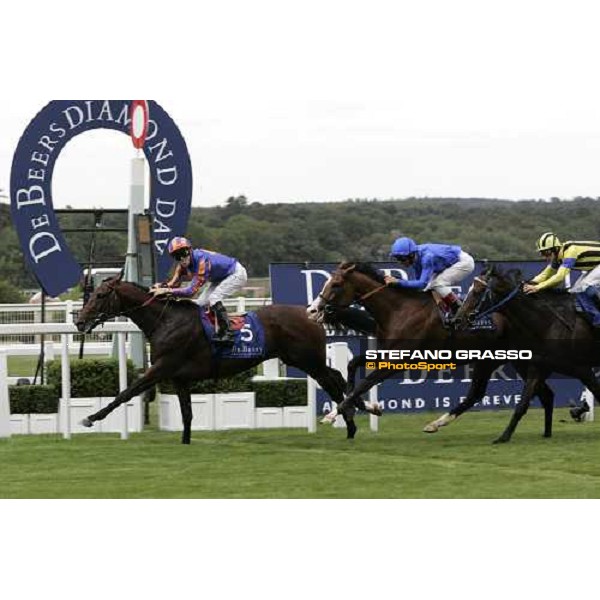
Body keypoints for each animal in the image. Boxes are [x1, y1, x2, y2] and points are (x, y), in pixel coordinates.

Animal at [72, 274, 368, 442]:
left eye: (100, 295)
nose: (80, 321)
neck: (166, 321)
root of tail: (311, 313)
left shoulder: (161, 367)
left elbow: (127, 392)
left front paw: (91, 418)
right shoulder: (178, 377)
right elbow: (187, 413)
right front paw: (186, 442)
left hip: (308, 360)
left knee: (333, 381)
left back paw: (351, 422)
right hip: (304, 360)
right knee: (336, 377)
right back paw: (355, 414)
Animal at [454, 266, 600, 440]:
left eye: (478, 291)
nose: (456, 319)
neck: (550, 324)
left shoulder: (583, 370)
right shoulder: (537, 367)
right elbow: (522, 404)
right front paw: (504, 437)